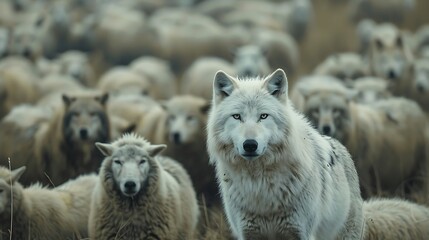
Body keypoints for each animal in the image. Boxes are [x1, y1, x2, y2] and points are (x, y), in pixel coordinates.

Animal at [206, 68, 362, 239]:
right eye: (236, 116)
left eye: (263, 116)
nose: (250, 145)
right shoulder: (248, 233)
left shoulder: (301, 233)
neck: (259, 184)